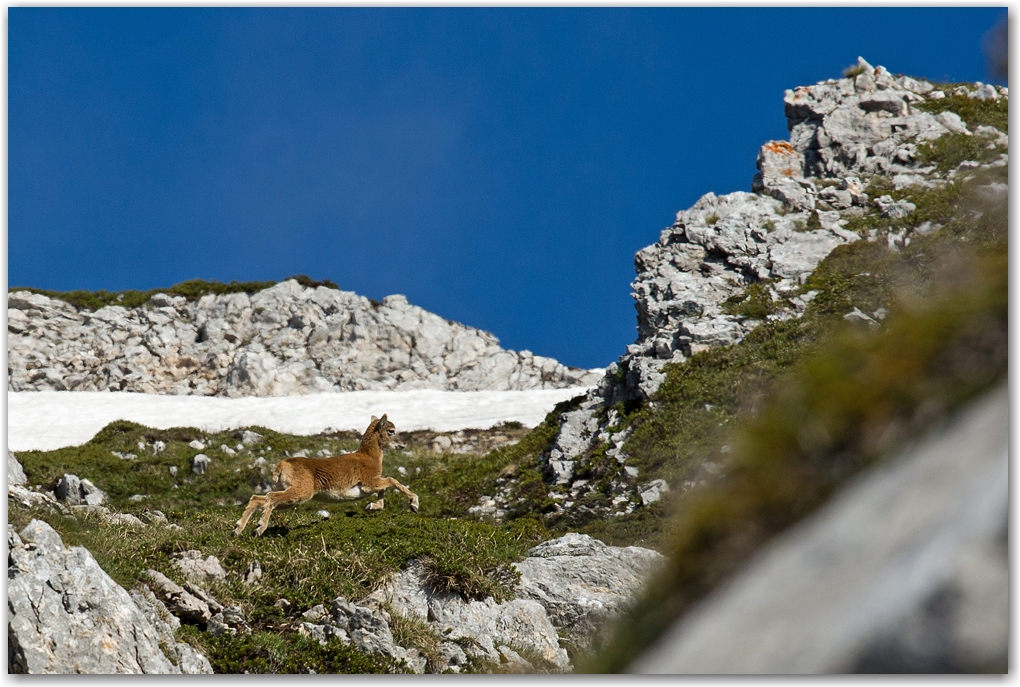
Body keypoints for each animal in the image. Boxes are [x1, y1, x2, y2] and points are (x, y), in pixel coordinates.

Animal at [233, 411, 420, 534]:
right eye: (391, 430)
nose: (403, 444)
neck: (369, 456)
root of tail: (282, 465)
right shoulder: (369, 482)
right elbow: (392, 481)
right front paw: (414, 505)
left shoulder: (371, 484)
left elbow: (384, 488)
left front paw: (372, 506)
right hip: (301, 493)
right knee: (270, 497)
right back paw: (259, 529)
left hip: (288, 496)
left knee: (257, 499)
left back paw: (237, 530)